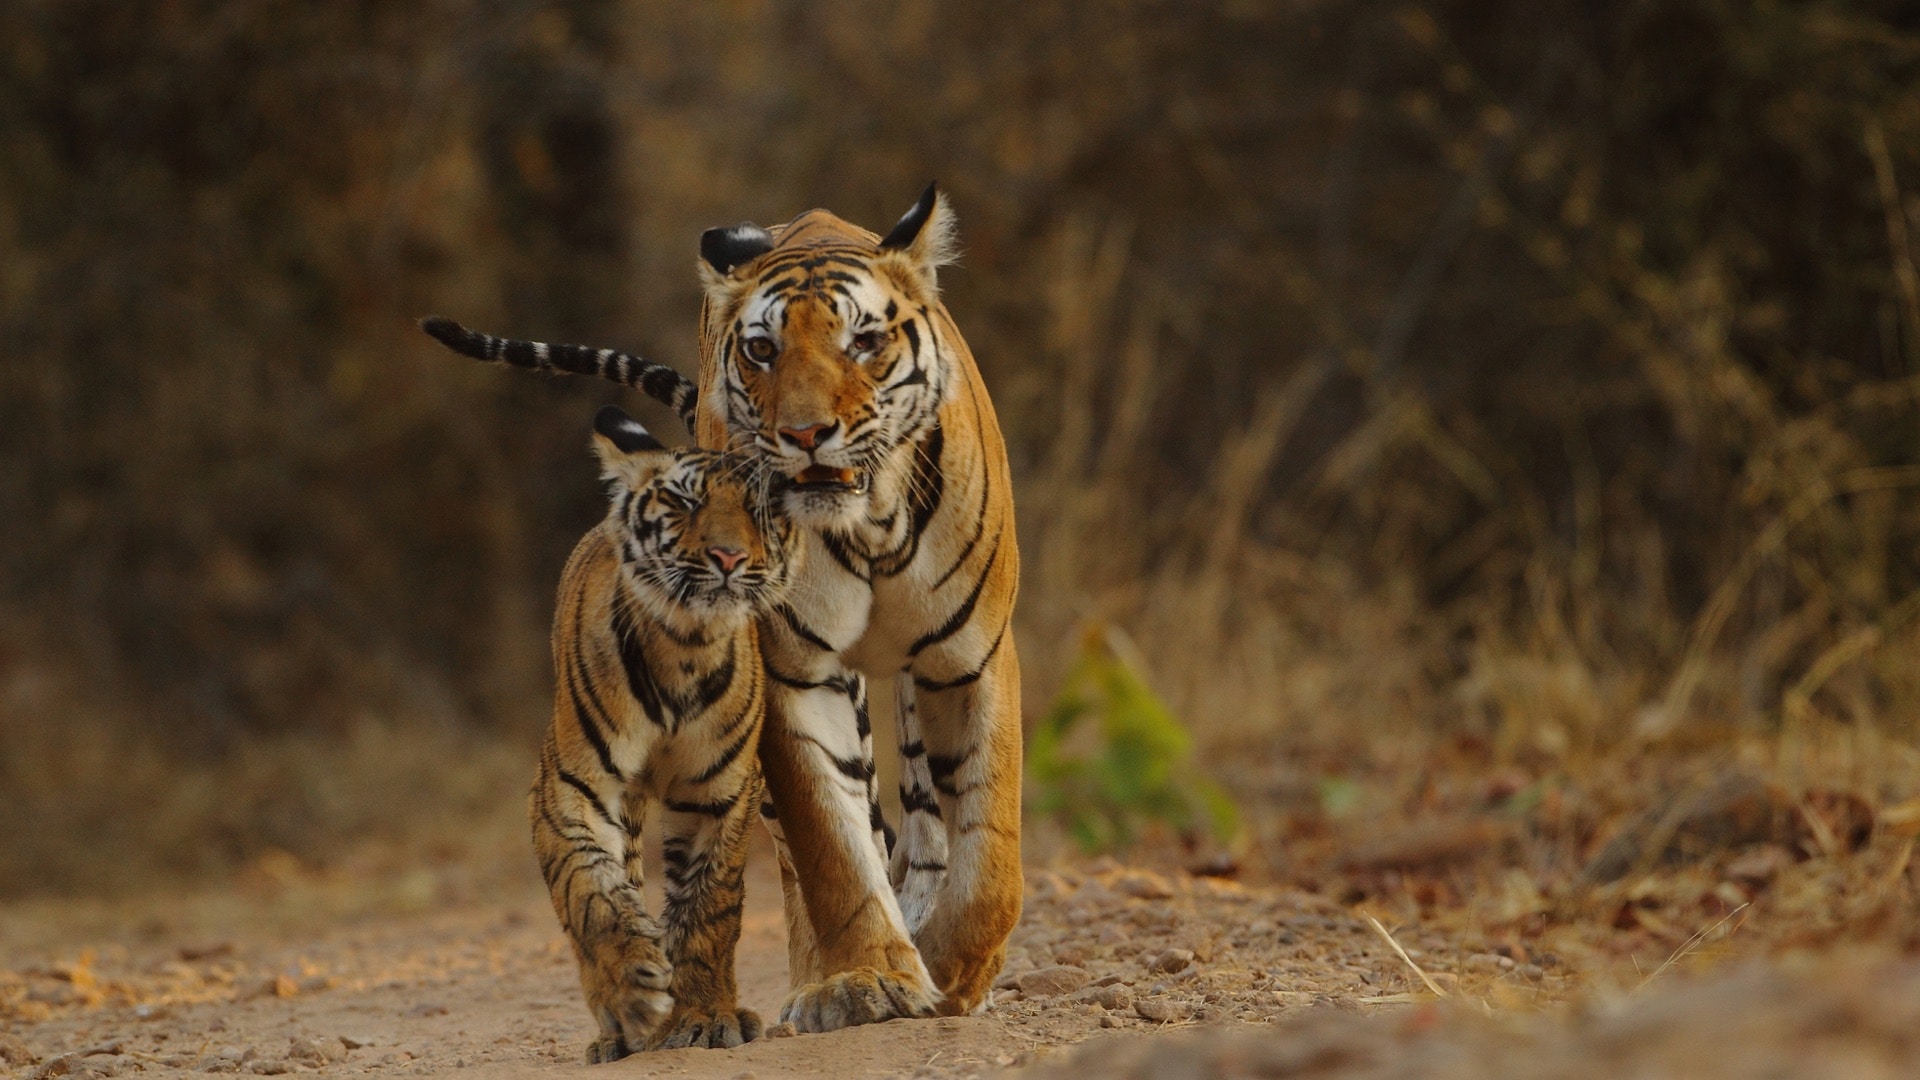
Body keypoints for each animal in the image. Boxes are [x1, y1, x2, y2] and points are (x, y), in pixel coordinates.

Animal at [420, 180, 1021, 1022]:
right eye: (763, 349)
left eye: (863, 341)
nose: (805, 434)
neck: (870, 522)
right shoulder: (795, 675)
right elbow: (832, 845)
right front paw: (871, 975)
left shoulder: (970, 657)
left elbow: (989, 841)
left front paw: (957, 971)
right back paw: (816, 983)